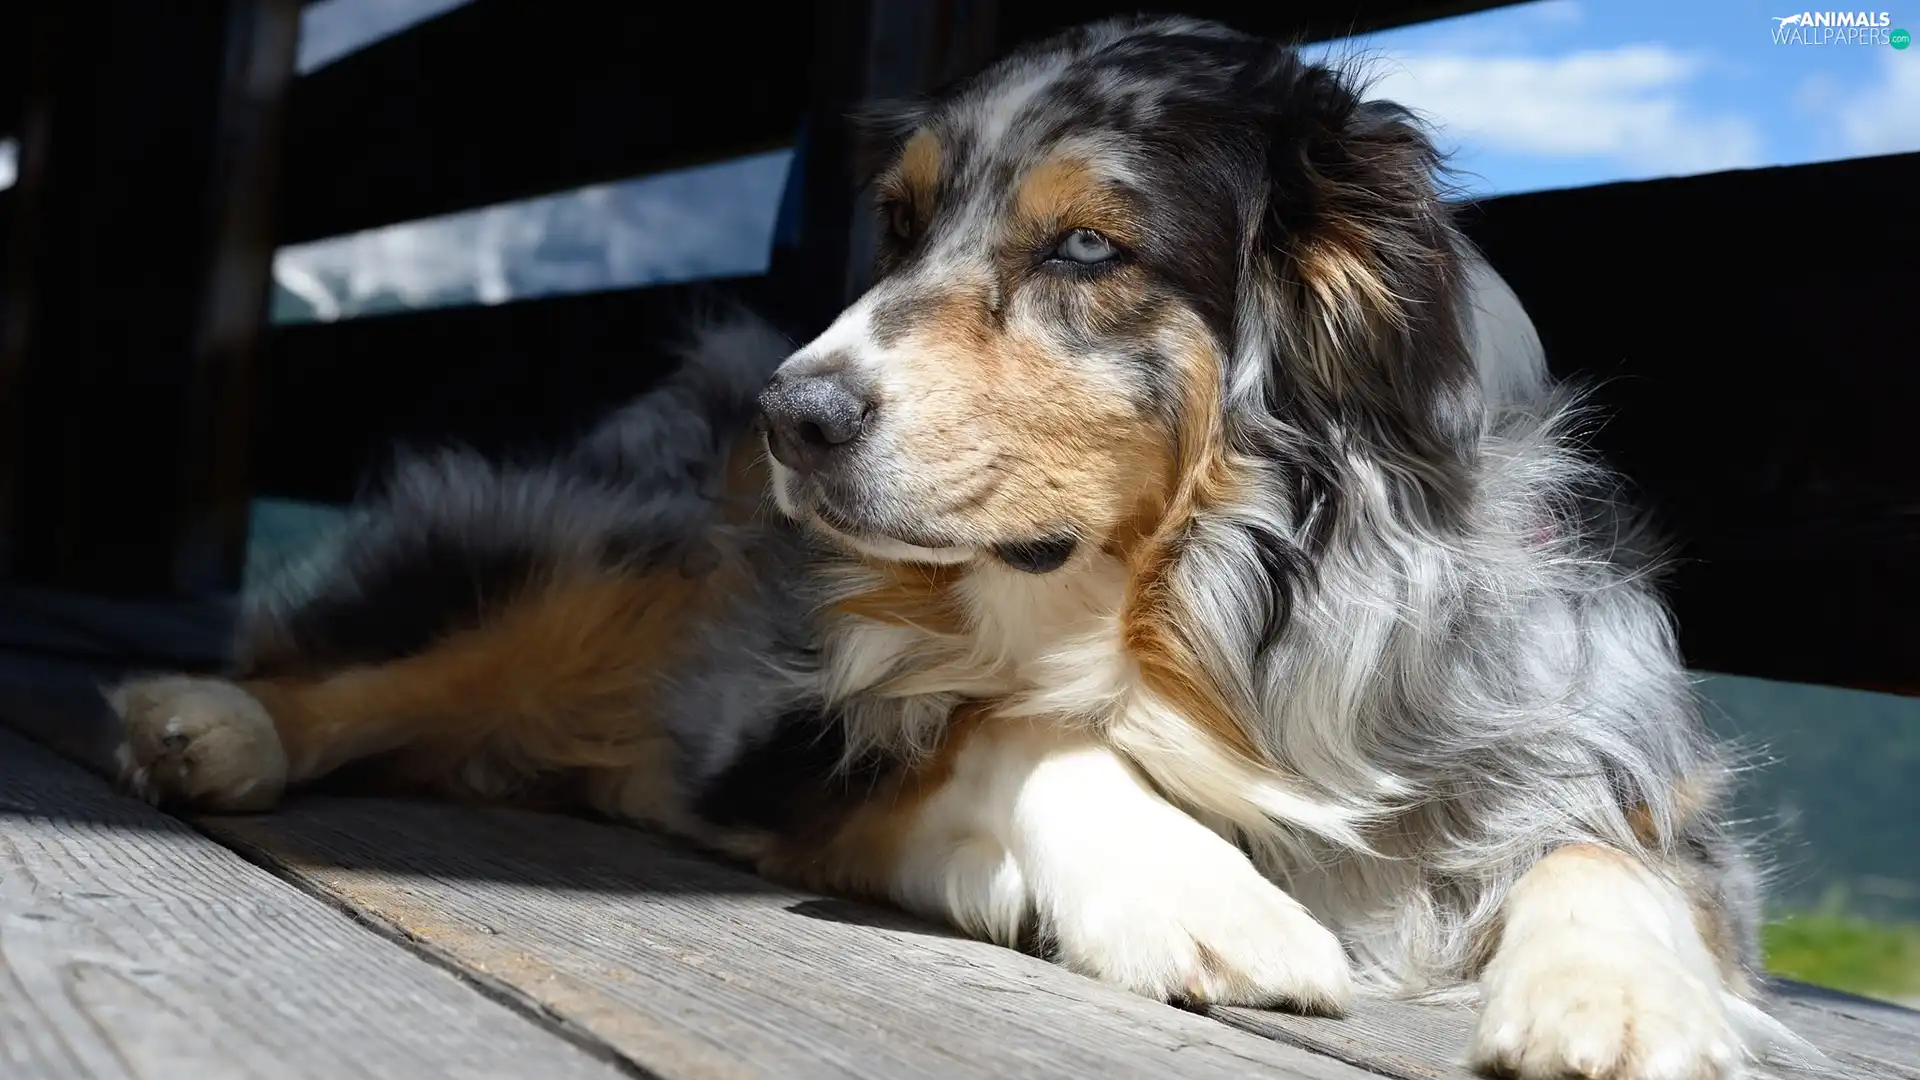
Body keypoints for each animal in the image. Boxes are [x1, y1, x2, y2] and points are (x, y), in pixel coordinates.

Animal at [116, 18, 1797, 1076]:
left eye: (1087, 246)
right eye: (904, 224)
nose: (790, 418)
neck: (1199, 623)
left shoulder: (1583, 741)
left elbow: (1606, 846)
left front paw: (1617, 1001)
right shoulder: (802, 748)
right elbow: (1017, 734)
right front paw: (1203, 896)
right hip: (622, 550)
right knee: (392, 652)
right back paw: (211, 724)